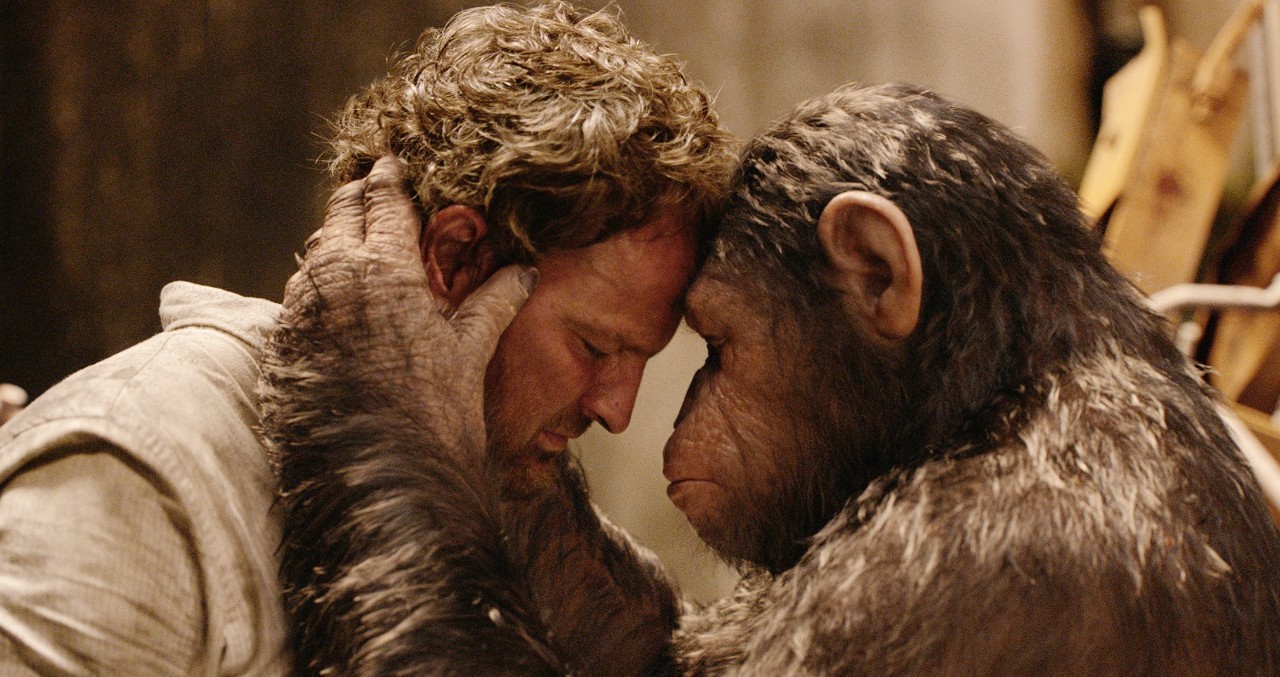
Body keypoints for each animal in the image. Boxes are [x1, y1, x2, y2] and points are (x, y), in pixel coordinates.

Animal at [262, 82, 1280, 675]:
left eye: (715, 339)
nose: (666, 406)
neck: (983, 398)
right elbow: (664, 652)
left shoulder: (941, 585)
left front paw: (380, 346)